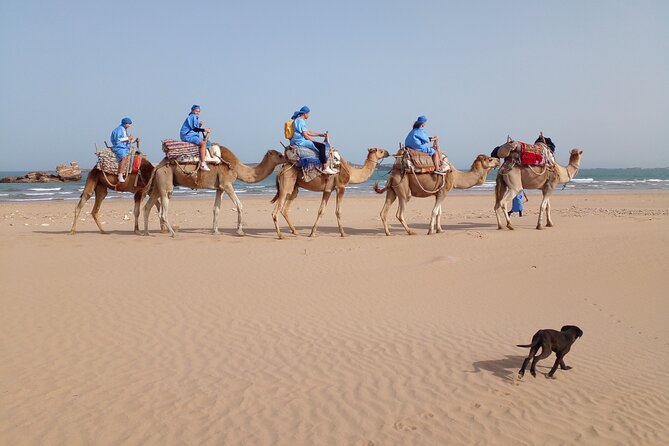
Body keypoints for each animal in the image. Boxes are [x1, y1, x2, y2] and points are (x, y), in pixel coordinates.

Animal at [142, 146, 284, 237]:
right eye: (280, 155)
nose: (286, 158)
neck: (237, 168)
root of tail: (157, 166)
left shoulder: (220, 188)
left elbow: (216, 209)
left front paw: (215, 231)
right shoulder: (227, 184)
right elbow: (239, 205)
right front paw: (240, 231)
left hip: (158, 183)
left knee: (147, 206)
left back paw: (147, 232)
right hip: (165, 178)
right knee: (163, 209)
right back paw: (172, 233)